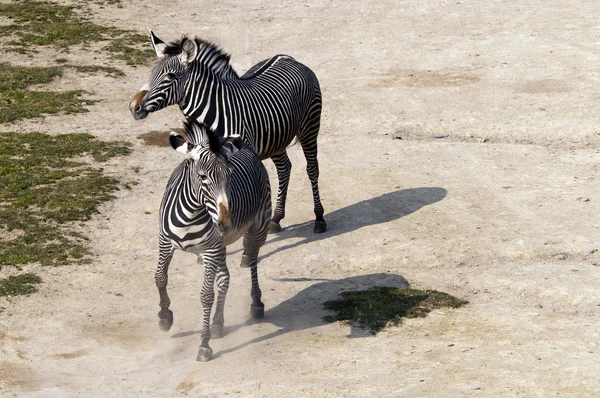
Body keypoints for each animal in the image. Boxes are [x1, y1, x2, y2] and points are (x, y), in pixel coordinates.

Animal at [130, 32, 328, 235]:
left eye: (170, 76)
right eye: (151, 73)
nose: (134, 107)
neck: (215, 110)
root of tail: (290, 59)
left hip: (310, 127)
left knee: (312, 168)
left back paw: (319, 218)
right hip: (276, 136)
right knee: (284, 168)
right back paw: (276, 218)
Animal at [158, 119, 274, 360]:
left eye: (229, 176)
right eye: (203, 177)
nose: (225, 223)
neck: (190, 214)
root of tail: (244, 144)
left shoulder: (209, 249)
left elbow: (206, 295)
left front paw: (204, 344)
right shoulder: (165, 241)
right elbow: (160, 278)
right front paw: (164, 317)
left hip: (258, 227)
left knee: (252, 260)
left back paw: (256, 303)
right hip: (219, 246)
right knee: (224, 278)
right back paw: (218, 323)